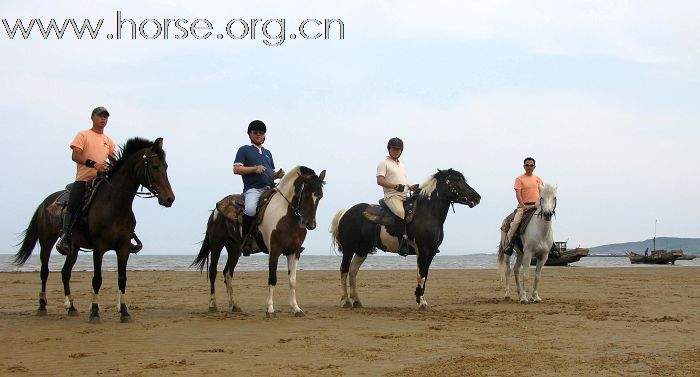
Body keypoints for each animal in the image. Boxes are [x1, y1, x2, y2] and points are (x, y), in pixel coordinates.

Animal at [13, 137, 174, 322]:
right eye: (154, 166)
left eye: (166, 167)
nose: (170, 199)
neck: (114, 204)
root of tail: (44, 203)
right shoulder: (99, 247)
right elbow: (97, 279)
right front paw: (95, 311)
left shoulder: (123, 247)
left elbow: (122, 279)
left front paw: (124, 311)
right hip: (47, 241)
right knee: (44, 271)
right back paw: (42, 306)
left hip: (73, 249)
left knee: (65, 273)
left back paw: (71, 307)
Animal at [193, 166, 326, 316]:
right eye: (307, 195)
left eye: (320, 196)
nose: (310, 224)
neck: (286, 215)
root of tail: (216, 209)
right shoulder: (274, 250)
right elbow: (272, 279)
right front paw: (270, 309)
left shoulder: (294, 252)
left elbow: (292, 280)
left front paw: (296, 308)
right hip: (217, 244)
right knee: (213, 271)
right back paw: (212, 304)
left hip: (234, 249)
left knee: (227, 273)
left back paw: (234, 306)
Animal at [330, 169, 482, 310]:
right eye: (457, 180)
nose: (477, 197)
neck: (427, 213)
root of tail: (346, 212)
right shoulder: (423, 251)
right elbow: (421, 276)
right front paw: (421, 302)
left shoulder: (431, 252)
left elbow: (425, 276)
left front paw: (420, 298)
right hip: (349, 249)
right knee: (344, 270)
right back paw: (346, 301)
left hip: (362, 250)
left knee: (353, 271)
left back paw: (356, 301)